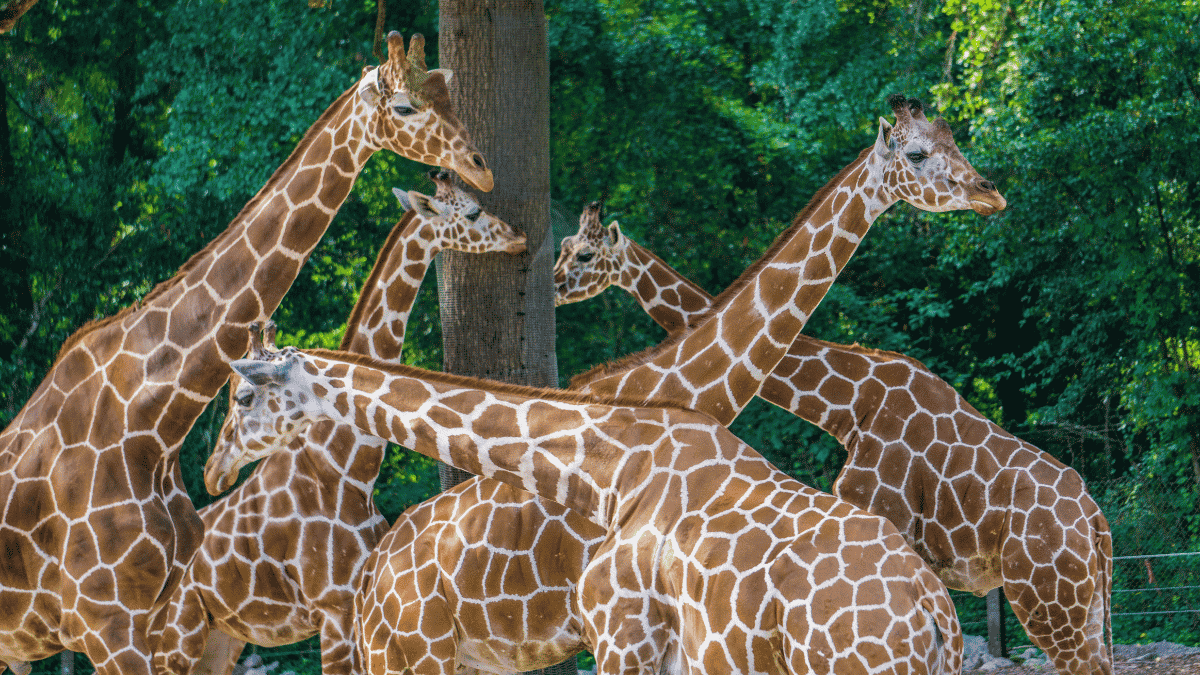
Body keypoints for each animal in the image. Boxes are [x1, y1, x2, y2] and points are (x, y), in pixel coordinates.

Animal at [155, 171, 526, 675]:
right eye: (472, 213)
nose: (518, 237)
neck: (348, 467)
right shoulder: (332, 609)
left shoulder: (355, 605)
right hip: (175, 637)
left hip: (219, 640)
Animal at [552, 204, 1113, 675]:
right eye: (563, 245)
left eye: (584, 254)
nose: (554, 286)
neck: (851, 403)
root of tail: (1097, 524)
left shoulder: (883, 517)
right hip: (1087, 605)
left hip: (1046, 600)